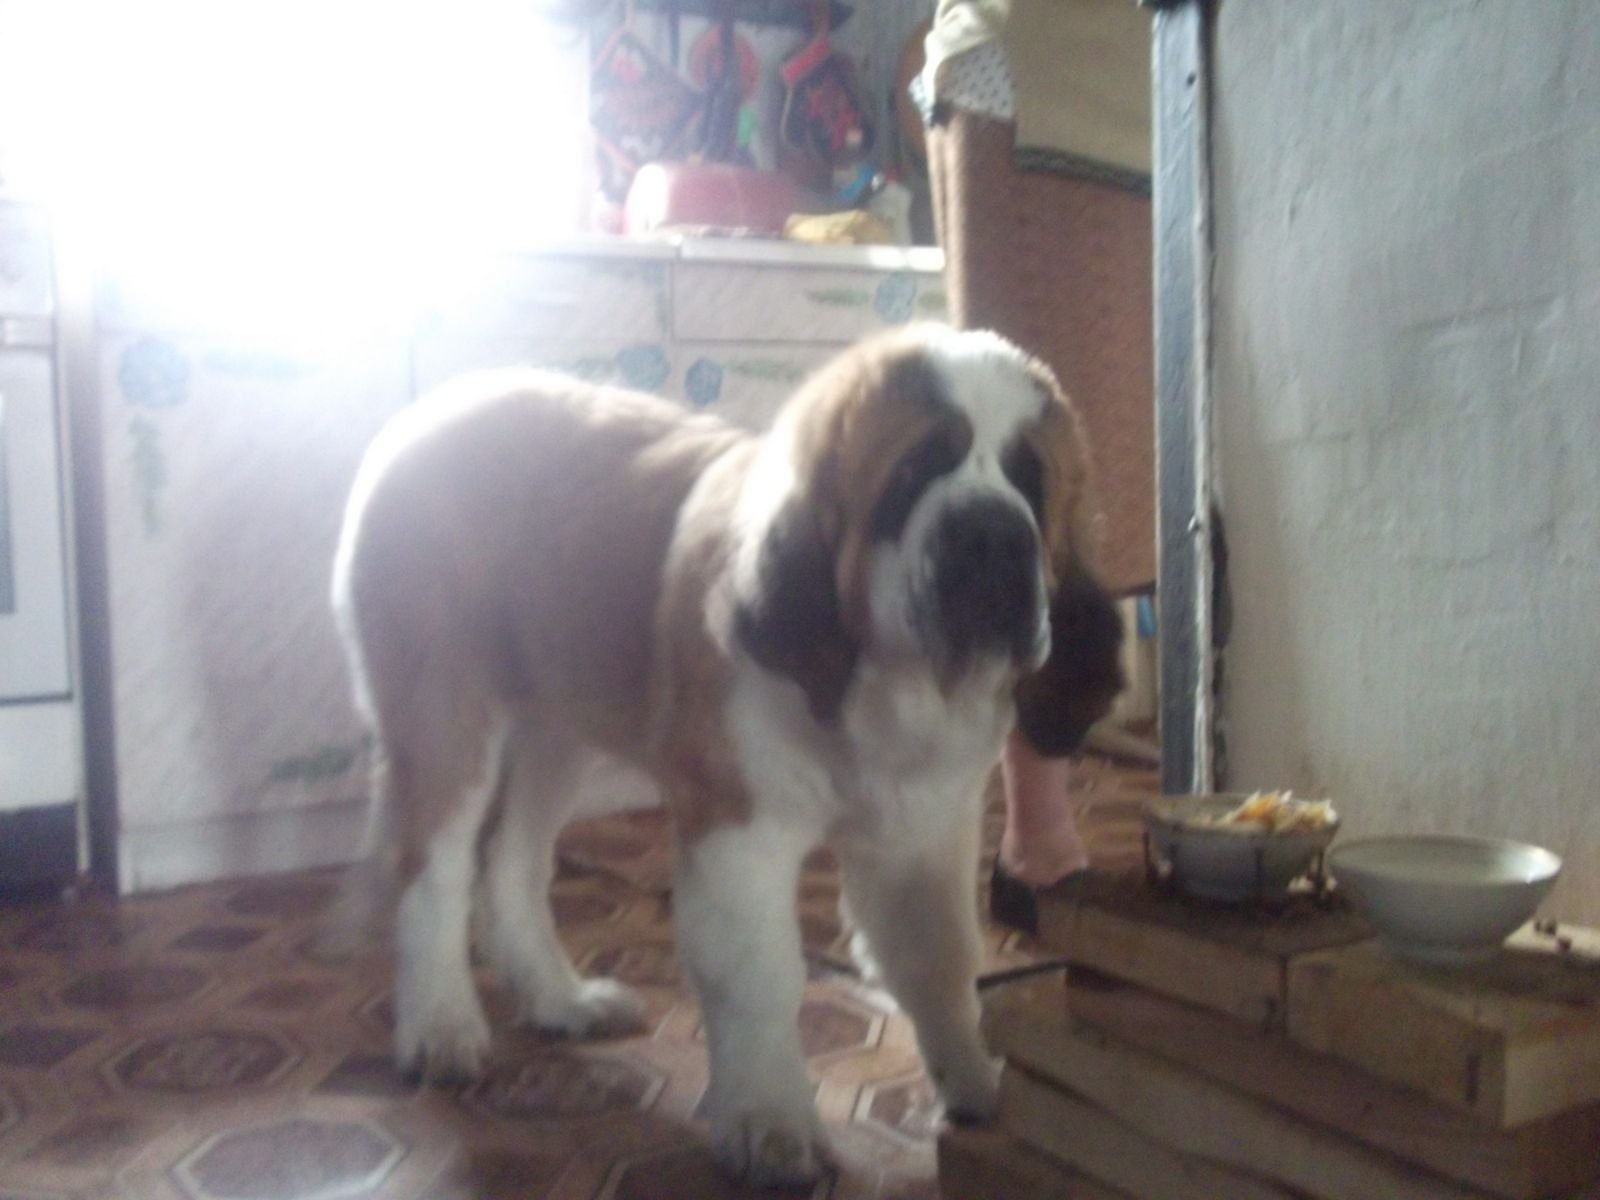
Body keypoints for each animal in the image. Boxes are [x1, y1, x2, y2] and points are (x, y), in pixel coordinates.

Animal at [329, 323, 1124, 1185]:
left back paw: (559, 1000)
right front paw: (770, 1121)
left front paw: (978, 1083)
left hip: (557, 728)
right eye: (914, 471)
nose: (991, 531)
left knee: (513, 861)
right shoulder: (739, 831)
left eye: (1029, 481)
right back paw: (440, 1026)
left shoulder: (921, 838)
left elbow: (940, 960)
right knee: (435, 869)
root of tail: (430, 410)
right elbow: (761, 975)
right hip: (447, 714)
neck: (875, 688)